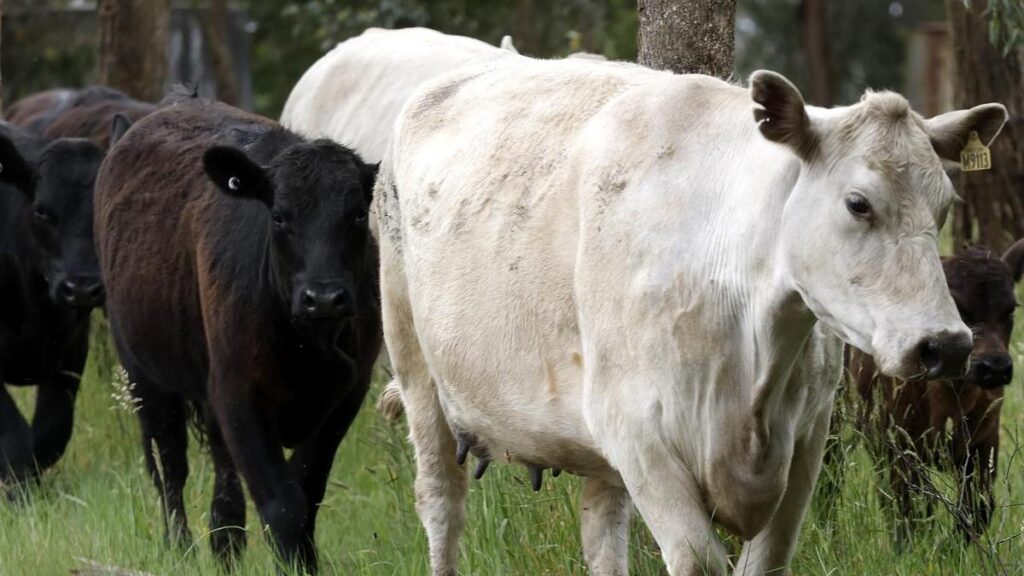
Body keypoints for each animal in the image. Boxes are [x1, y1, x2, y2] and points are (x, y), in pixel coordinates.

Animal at [95, 93, 381, 572]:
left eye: (359, 214)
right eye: (279, 216)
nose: (323, 297)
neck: (306, 346)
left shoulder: (348, 392)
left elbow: (306, 488)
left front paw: (305, 562)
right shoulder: (238, 392)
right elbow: (283, 502)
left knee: (223, 480)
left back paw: (225, 546)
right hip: (143, 375)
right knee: (169, 467)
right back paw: (182, 547)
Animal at [846, 239, 1024, 544]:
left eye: (1010, 310)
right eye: (958, 308)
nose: (995, 367)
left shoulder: (985, 443)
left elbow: (976, 510)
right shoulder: (898, 446)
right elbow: (911, 512)